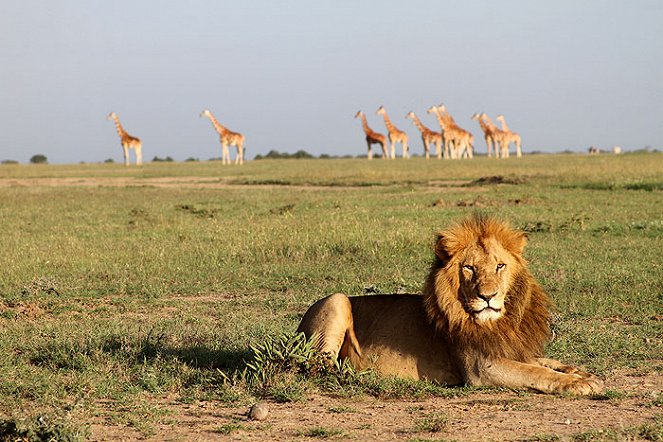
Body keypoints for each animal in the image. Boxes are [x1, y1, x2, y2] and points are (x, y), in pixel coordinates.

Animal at [298, 213, 604, 394]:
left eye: (500, 266)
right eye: (469, 268)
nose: (488, 296)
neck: (499, 322)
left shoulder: (509, 347)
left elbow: (545, 361)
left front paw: (581, 372)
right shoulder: (481, 367)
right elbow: (534, 371)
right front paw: (578, 383)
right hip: (336, 300)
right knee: (318, 368)